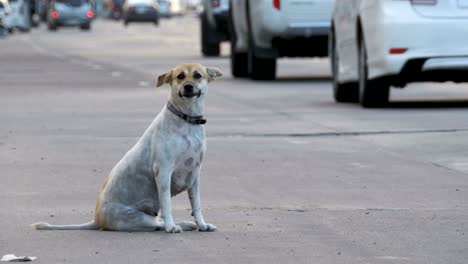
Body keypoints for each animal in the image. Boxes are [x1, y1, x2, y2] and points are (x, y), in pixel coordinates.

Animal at [32, 64, 222, 233]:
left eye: (197, 75)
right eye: (180, 76)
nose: (188, 86)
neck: (186, 120)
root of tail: (96, 219)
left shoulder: (194, 174)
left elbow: (196, 205)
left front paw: (202, 225)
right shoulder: (163, 172)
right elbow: (167, 205)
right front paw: (171, 226)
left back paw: (188, 224)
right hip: (139, 218)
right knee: (158, 224)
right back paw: (176, 225)